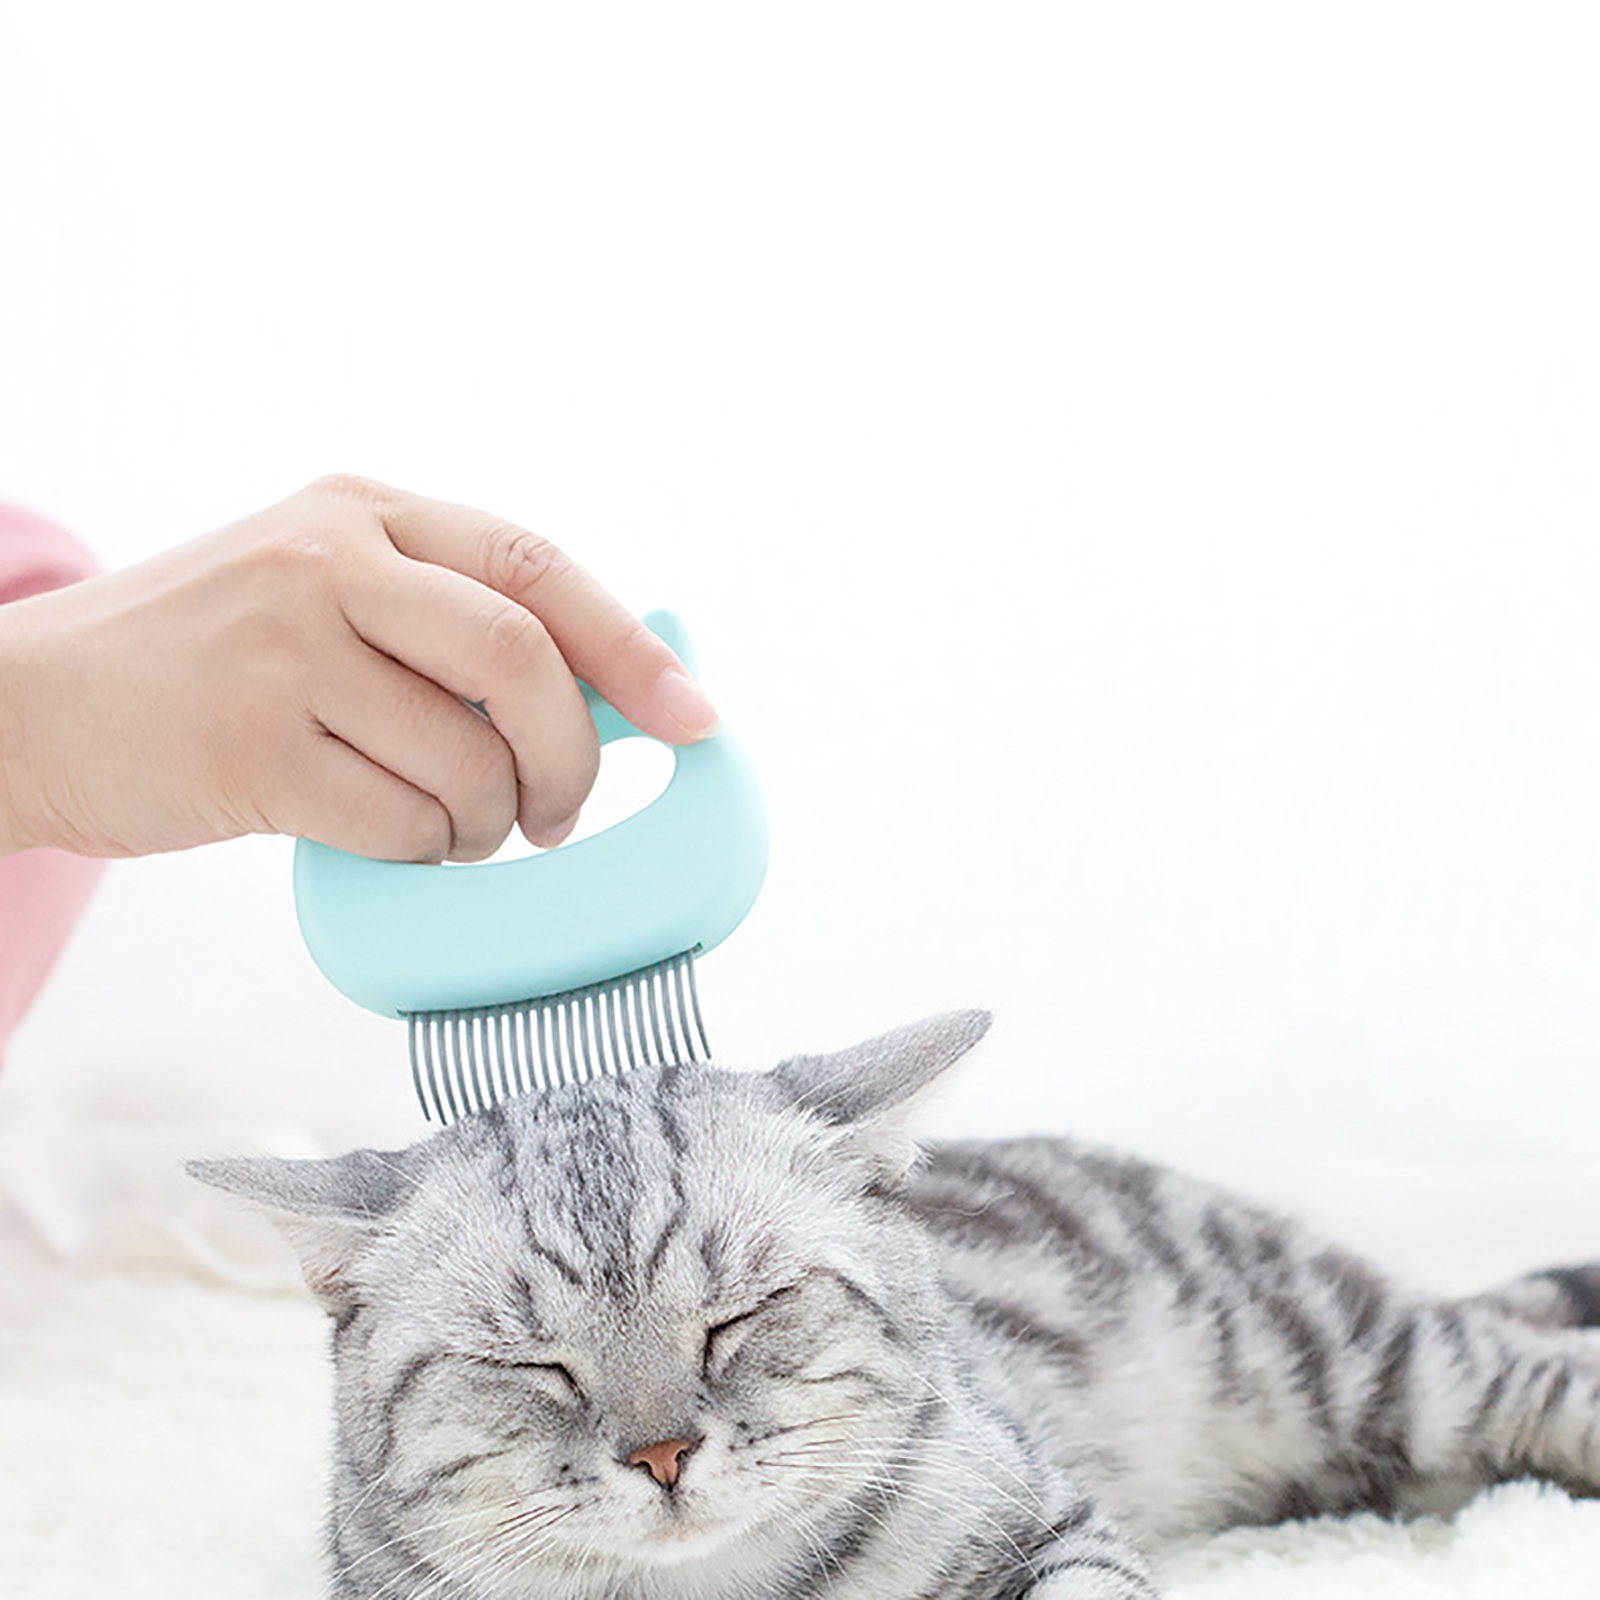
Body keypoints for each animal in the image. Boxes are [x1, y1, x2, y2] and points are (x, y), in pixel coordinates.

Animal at [192, 1010, 1600, 1599]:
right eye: (536, 1365)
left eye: (738, 1316)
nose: (661, 1453)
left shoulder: (1053, 1524)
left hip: (1365, 1361)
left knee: (1542, 1375)